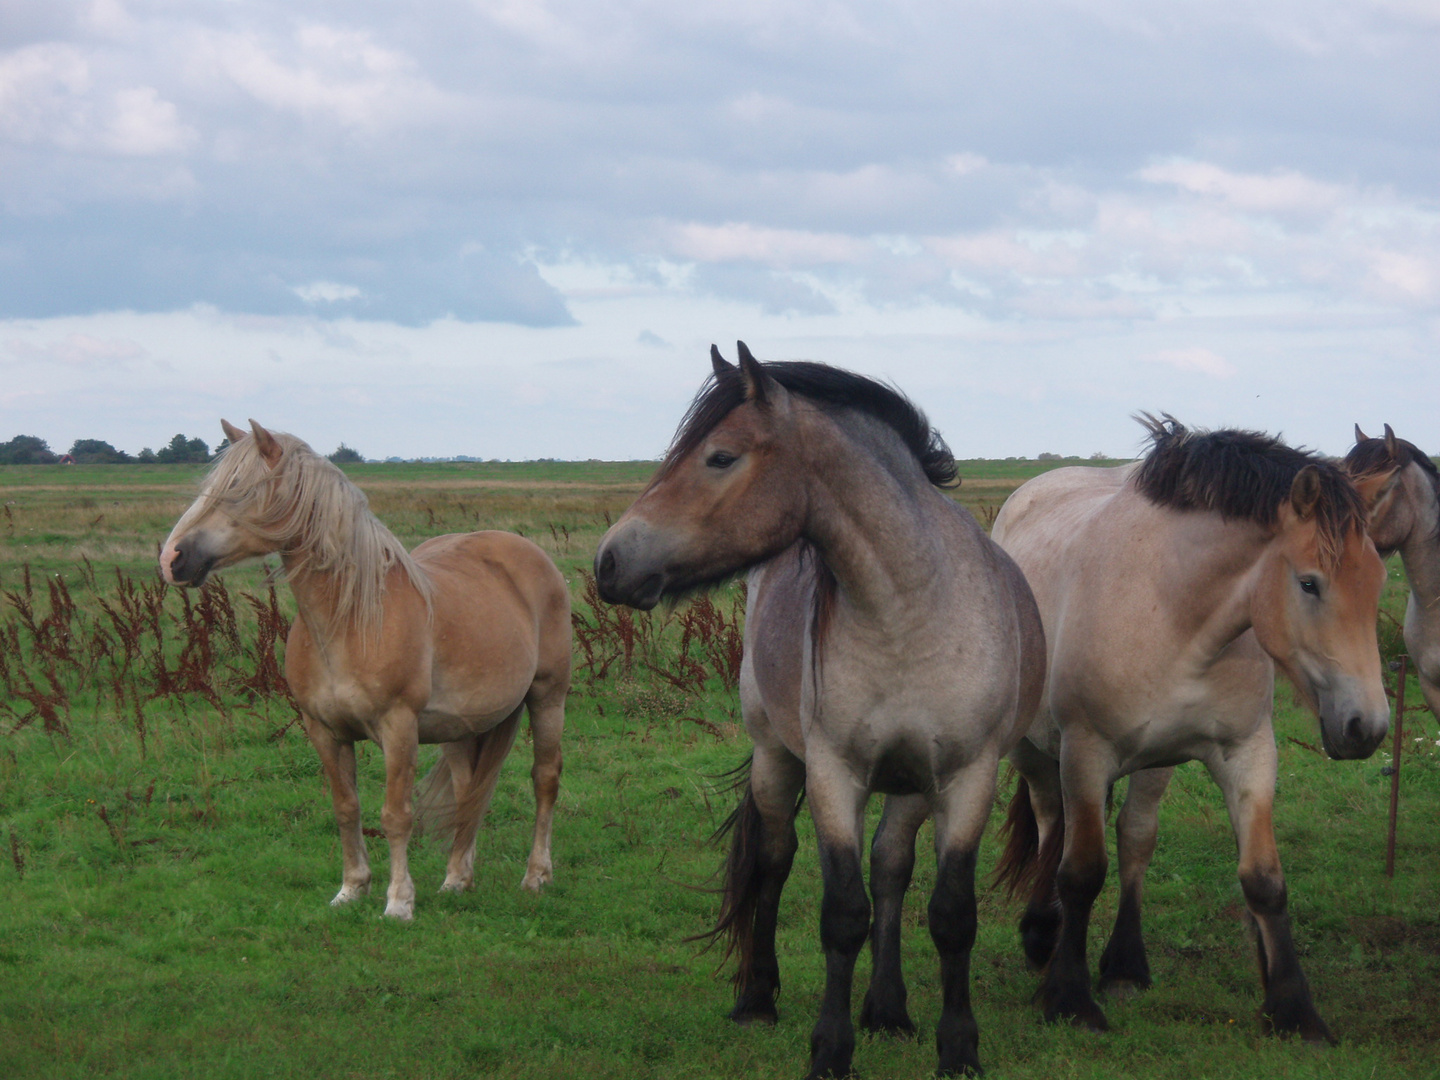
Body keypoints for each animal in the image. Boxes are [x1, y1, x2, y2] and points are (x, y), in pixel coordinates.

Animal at [162, 423, 567, 921]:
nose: (171, 558)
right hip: (461, 727)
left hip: (548, 697)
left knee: (544, 779)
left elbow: (396, 816)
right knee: (469, 789)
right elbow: (346, 808)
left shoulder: (398, 728)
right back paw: (457, 878)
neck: (350, 620)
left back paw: (535, 877)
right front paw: (352, 889)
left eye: (240, 490)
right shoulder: (324, 730)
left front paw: (399, 901)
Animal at [590, 342, 1042, 1077]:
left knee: (891, 867)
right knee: (773, 860)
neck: (910, 613)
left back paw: (888, 1010)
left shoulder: (967, 777)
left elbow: (949, 914)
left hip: (909, 784)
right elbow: (843, 914)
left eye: (720, 457)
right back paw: (758, 998)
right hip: (776, 758)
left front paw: (958, 1048)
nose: (609, 561)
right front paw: (830, 1047)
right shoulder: (835, 774)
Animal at [990, 414, 1393, 1042]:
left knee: (1135, 837)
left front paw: (1294, 1009)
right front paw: (1069, 998)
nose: (1366, 727)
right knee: (1051, 820)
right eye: (1309, 584)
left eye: (1377, 579)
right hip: (1033, 752)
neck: (1174, 612)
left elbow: (1264, 879)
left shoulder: (1247, 753)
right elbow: (1081, 872)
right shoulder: (1085, 751)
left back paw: (1125, 964)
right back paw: (1042, 935)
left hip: (1154, 763)